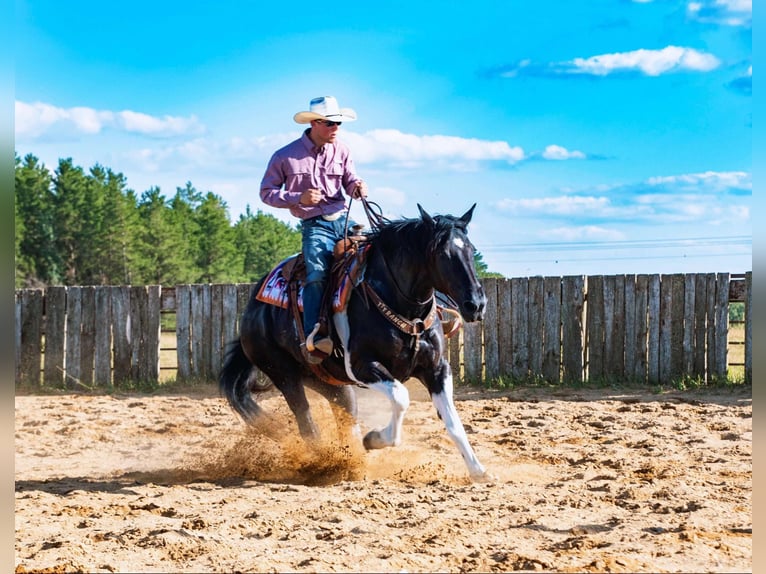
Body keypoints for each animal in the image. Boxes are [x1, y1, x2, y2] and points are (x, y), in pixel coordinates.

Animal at [219, 202, 488, 482]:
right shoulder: (363, 367)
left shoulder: (436, 368)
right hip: (283, 373)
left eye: (470, 250)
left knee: (345, 416)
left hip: (328, 381)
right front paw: (376, 439)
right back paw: (323, 463)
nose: (476, 305)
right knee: (305, 419)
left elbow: (452, 420)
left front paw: (477, 469)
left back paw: (351, 462)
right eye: (443, 254)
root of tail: (252, 310)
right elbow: (400, 397)